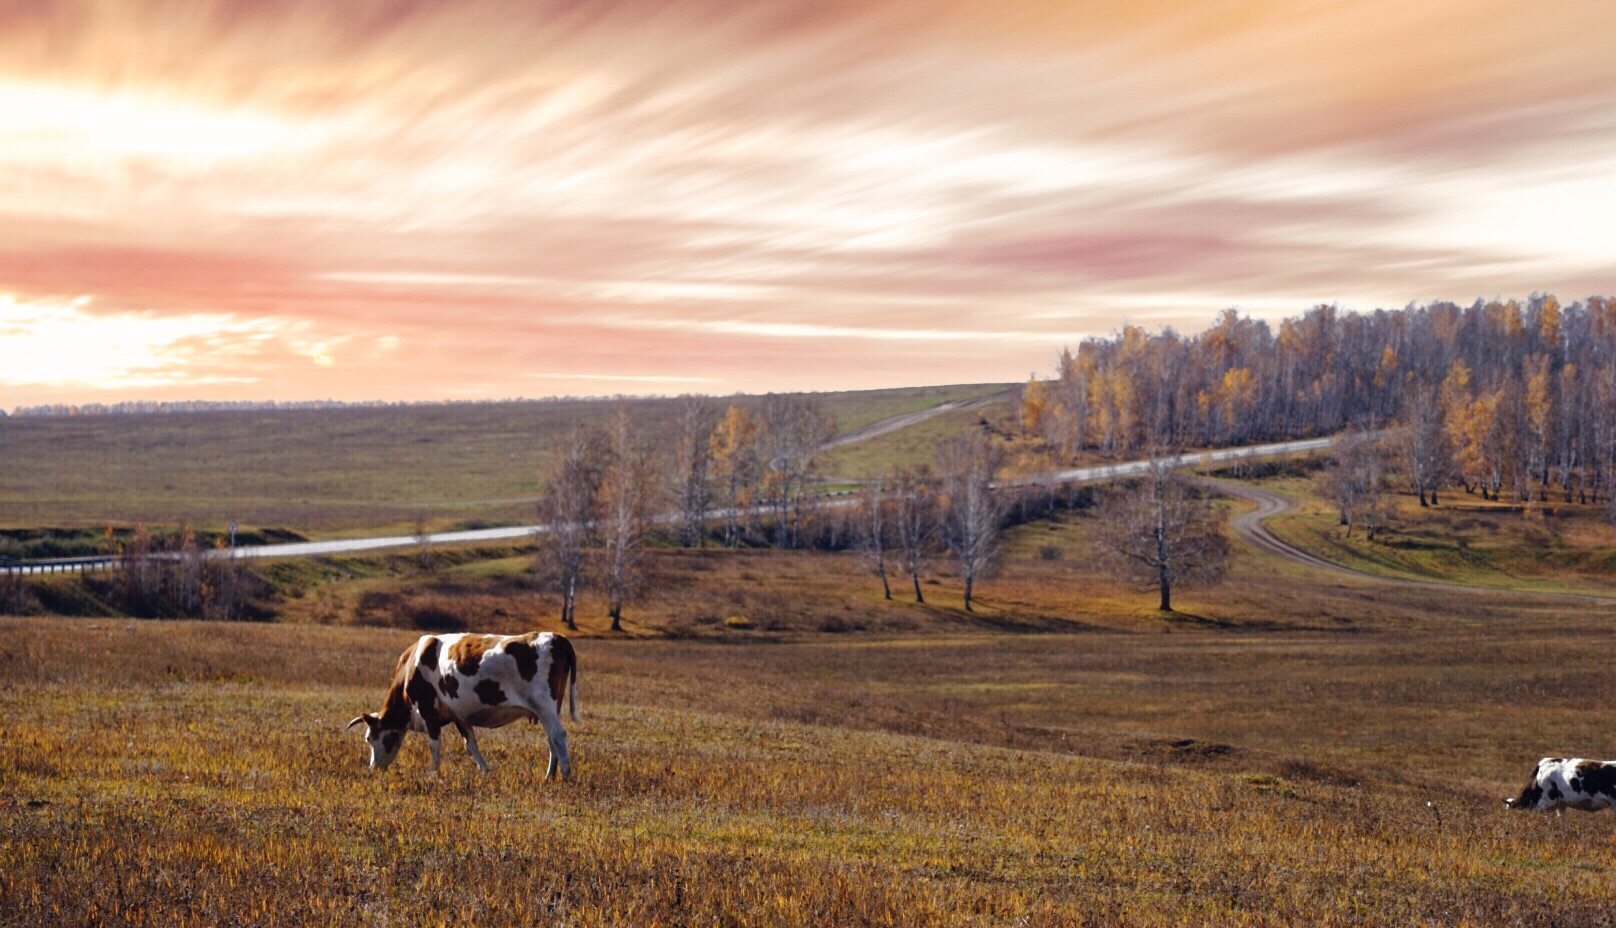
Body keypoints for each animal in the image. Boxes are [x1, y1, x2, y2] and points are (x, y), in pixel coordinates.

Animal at [344, 633, 578, 779]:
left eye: (369, 738)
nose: (373, 768)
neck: (411, 665)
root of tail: (557, 637)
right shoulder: (458, 714)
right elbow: (470, 744)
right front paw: (485, 771)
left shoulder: (427, 708)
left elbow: (434, 743)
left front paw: (433, 773)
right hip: (550, 708)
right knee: (551, 739)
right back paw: (550, 776)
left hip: (544, 704)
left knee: (558, 735)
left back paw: (565, 775)